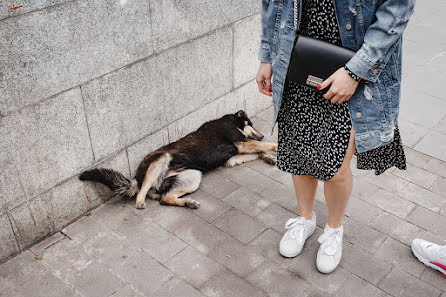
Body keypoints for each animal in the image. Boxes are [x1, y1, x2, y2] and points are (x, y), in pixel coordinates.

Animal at [78, 110, 278, 209]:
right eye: (251, 124)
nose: (261, 134)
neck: (232, 122)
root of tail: (137, 178)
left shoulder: (232, 156)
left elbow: (258, 151)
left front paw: (268, 157)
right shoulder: (240, 143)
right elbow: (265, 145)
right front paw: (275, 147)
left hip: (192, 176)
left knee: (165, 198)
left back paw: (188, 203)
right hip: (161, 159)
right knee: (144, 190)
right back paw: (140, 202)